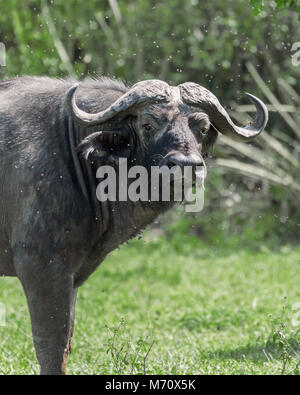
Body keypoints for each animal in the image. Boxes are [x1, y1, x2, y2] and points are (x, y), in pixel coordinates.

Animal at [0, 76, 268, 374]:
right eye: (148, 125)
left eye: (202, 128)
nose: (186, 165)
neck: (75, 153)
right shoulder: (42, 269)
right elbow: (51, 346)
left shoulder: (71, 277)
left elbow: (67, 341)